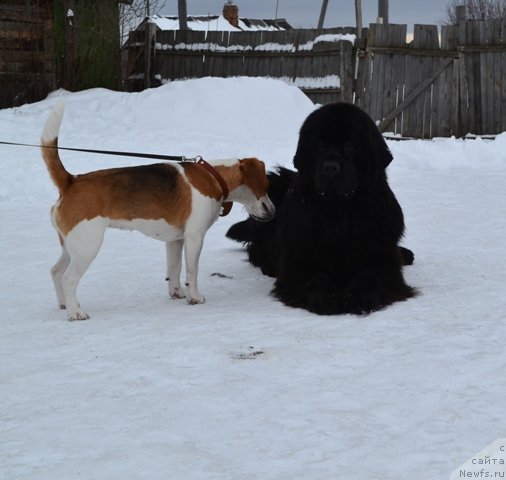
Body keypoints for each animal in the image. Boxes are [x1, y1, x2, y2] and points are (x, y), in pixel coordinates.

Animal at [227, 101, 418, 316]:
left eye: (349, 146)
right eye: (320, 146)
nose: (330, 167)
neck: (338, 215)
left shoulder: (381, 257)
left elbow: (370, 275)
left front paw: (360, 297)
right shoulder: (301, 258)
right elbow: (314, 277)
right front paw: (325, 297)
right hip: (272, 189)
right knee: (256, 252)